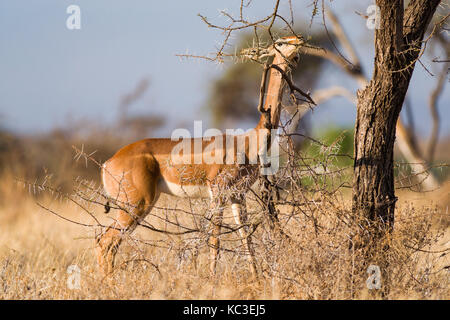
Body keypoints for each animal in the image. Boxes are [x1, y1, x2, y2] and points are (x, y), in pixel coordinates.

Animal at [96, 34, 304, 276]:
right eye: (280, 42)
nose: (299, 40)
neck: (249, 141)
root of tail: (108, 163)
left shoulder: (238, 196)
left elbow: (246, 239)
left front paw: (257, 278)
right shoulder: (218, 193)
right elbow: (215, 241)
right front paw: (212, 278)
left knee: (107, 242)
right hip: (136, 204)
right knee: (106, 241)